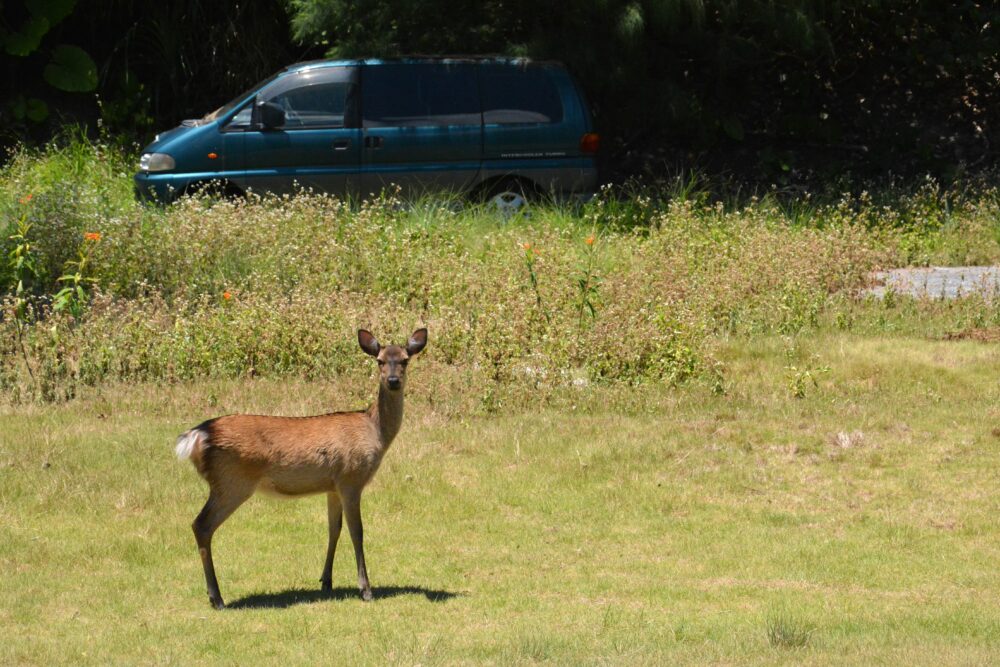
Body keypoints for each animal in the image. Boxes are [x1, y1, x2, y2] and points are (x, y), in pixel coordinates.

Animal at [176, 326, 426, 608]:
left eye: (405, 360)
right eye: (380, 361)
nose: (393, 380)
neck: (375, 432)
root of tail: (198, 435)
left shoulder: (332, 486)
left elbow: (334, 529)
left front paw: (326, 581)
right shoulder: (351, 478)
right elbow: (357, 531)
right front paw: (366, 590)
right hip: (232, 481)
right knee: (202, 525)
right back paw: (217, 597)